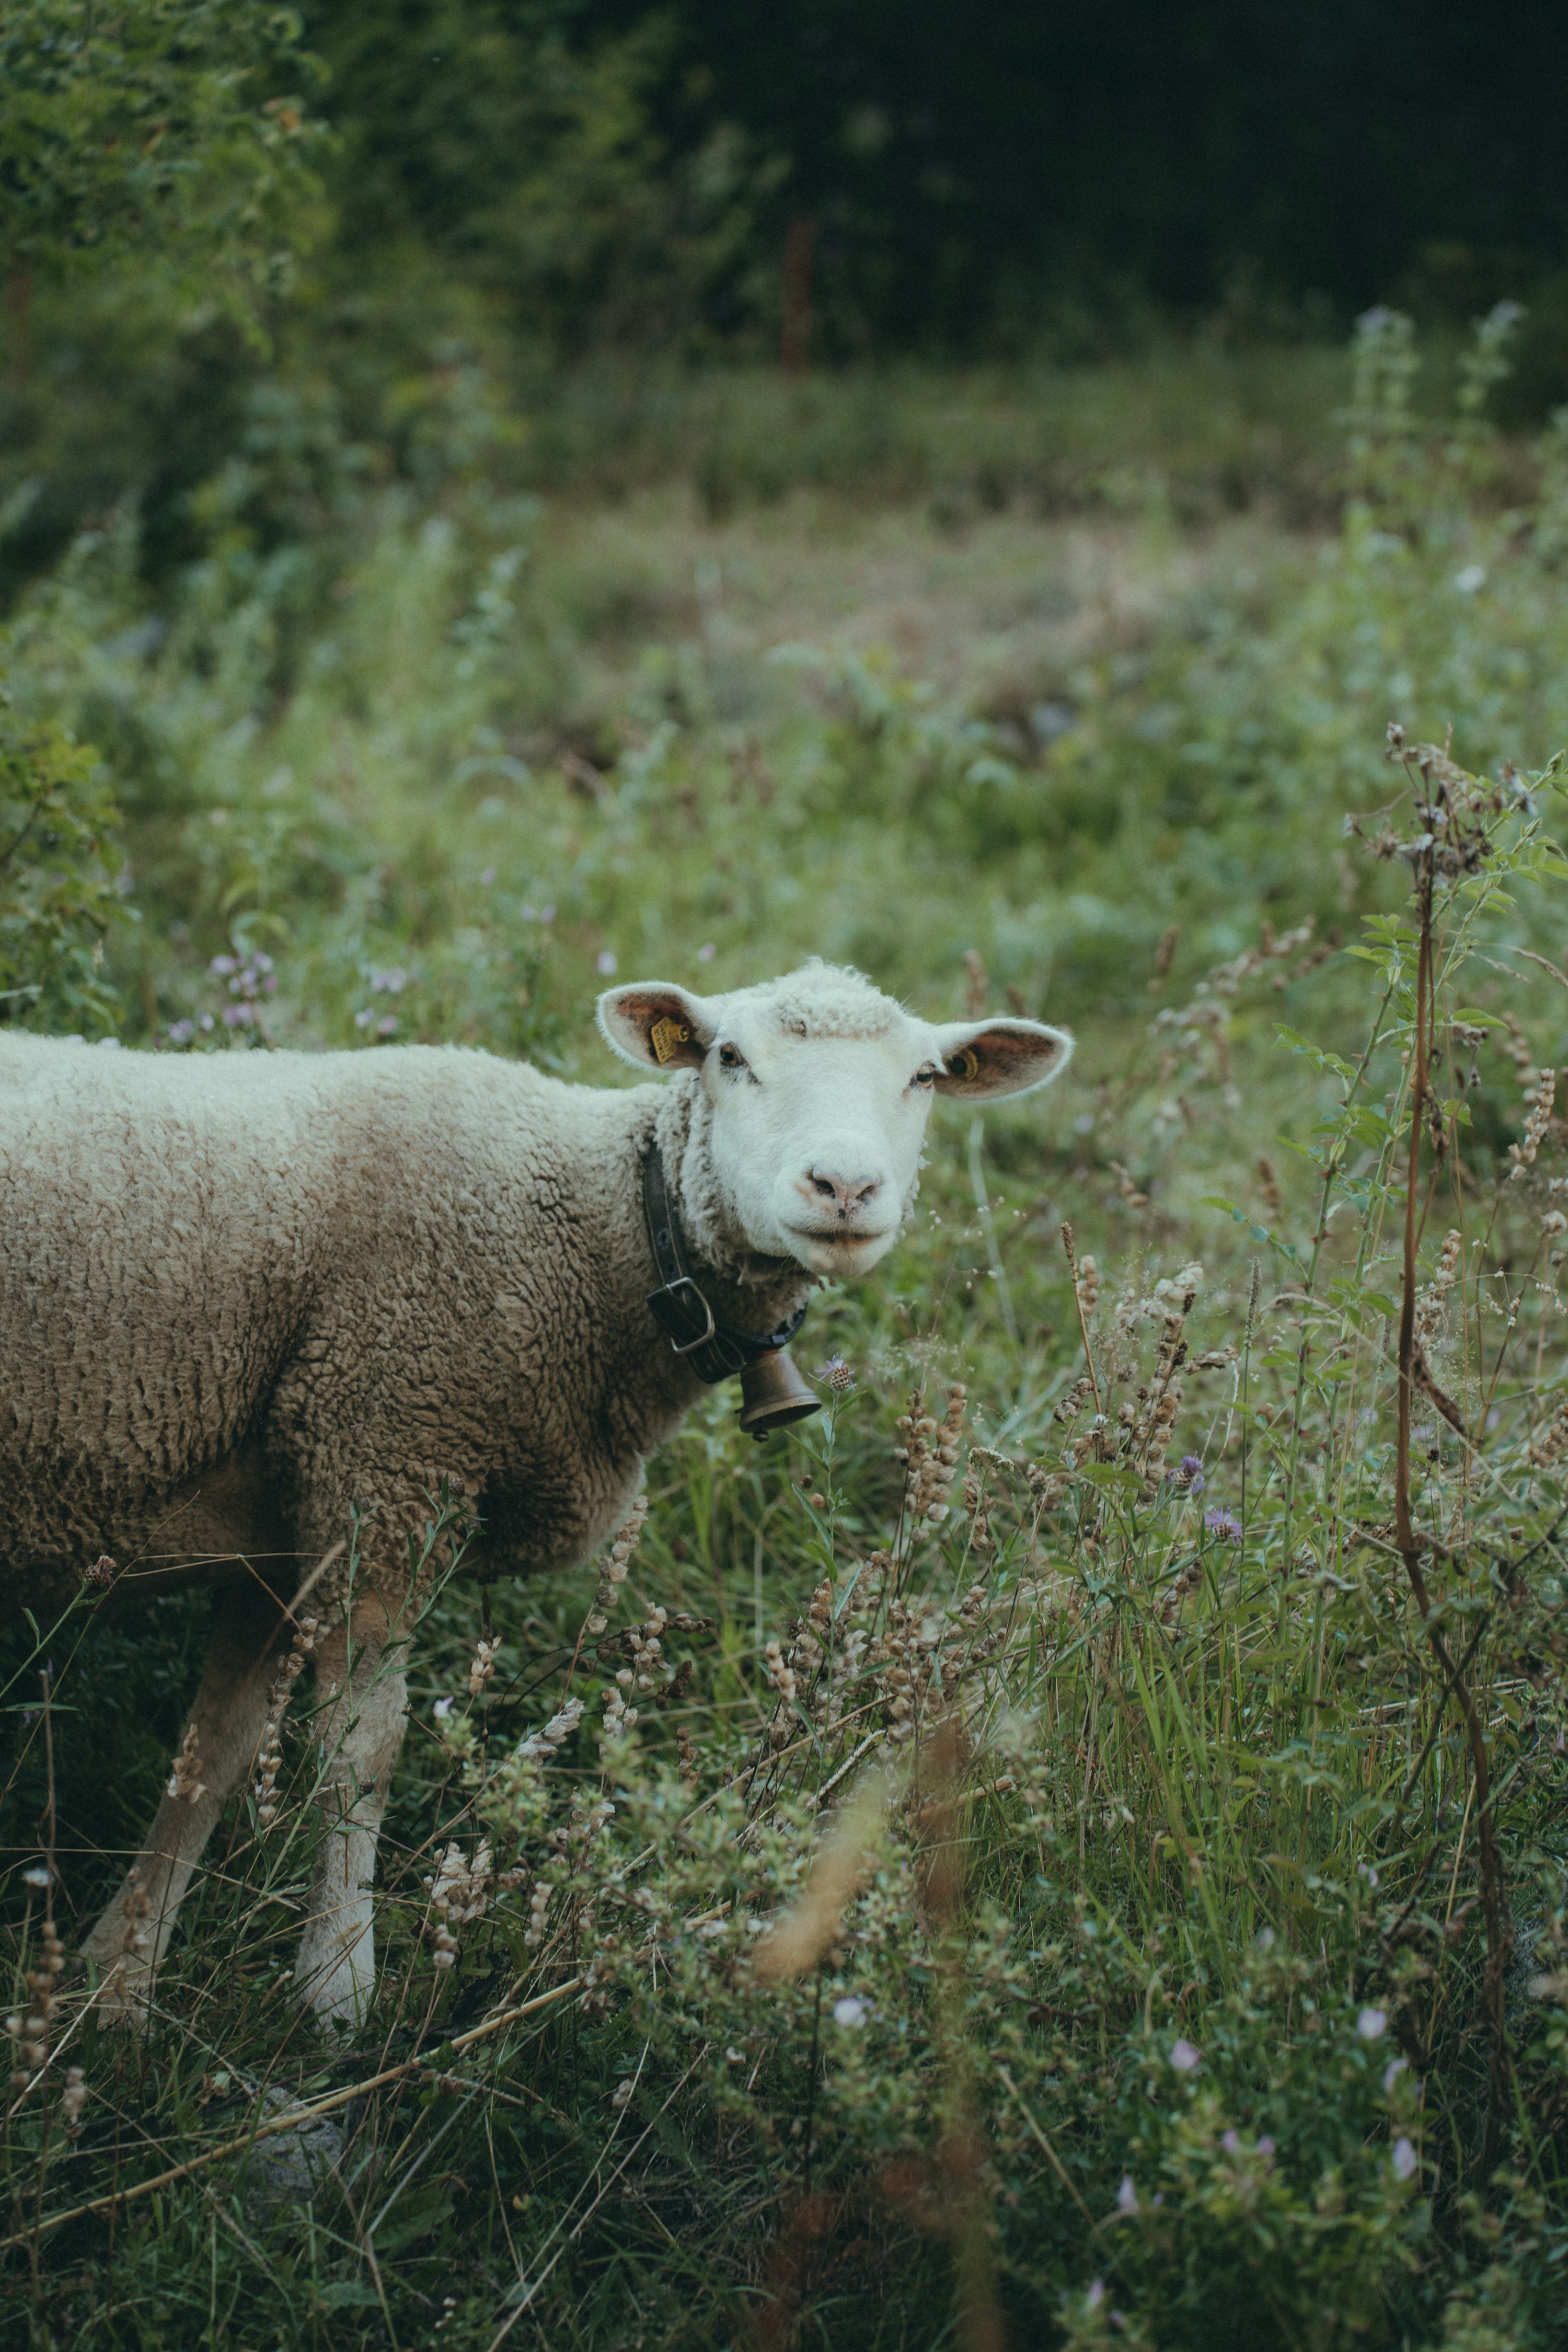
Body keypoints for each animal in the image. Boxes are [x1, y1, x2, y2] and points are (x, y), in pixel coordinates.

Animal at [1, 961, 1071, 2025]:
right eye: (730, 1057)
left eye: (926, 1077)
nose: (844, 1186)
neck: (595, 1229)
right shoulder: (385, 1458)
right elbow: (360, 1750)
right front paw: (338, 1986)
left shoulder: (287, 1516)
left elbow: (211, 1758)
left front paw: (118, 1981)